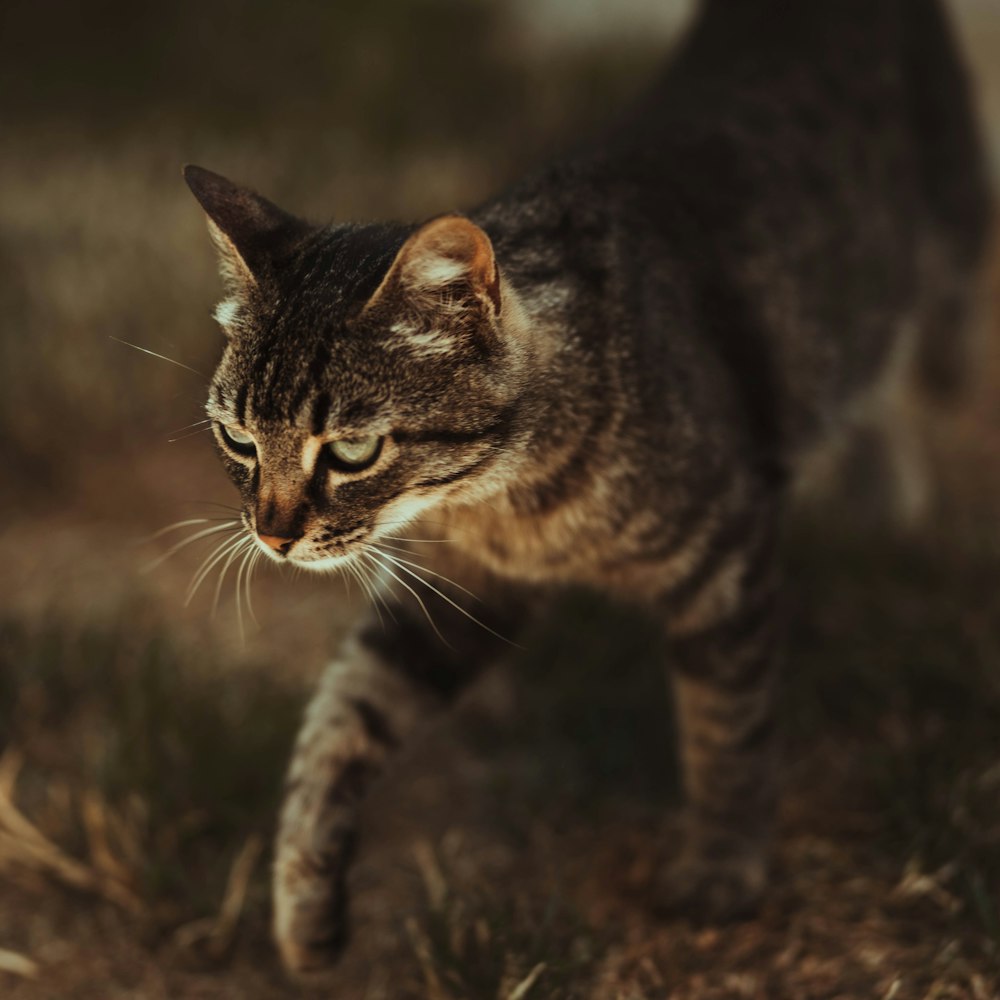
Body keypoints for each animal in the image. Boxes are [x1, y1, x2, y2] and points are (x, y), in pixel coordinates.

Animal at [182, 0, 992, 976]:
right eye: (236, 437)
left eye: (351, 450)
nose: (271, 534)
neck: (510, 504)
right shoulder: (457, 594)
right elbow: (338, 722)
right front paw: (304, 911)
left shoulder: (729, 560)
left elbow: (729, 728)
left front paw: (721, 869)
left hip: (949, 249)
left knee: (931, 358)